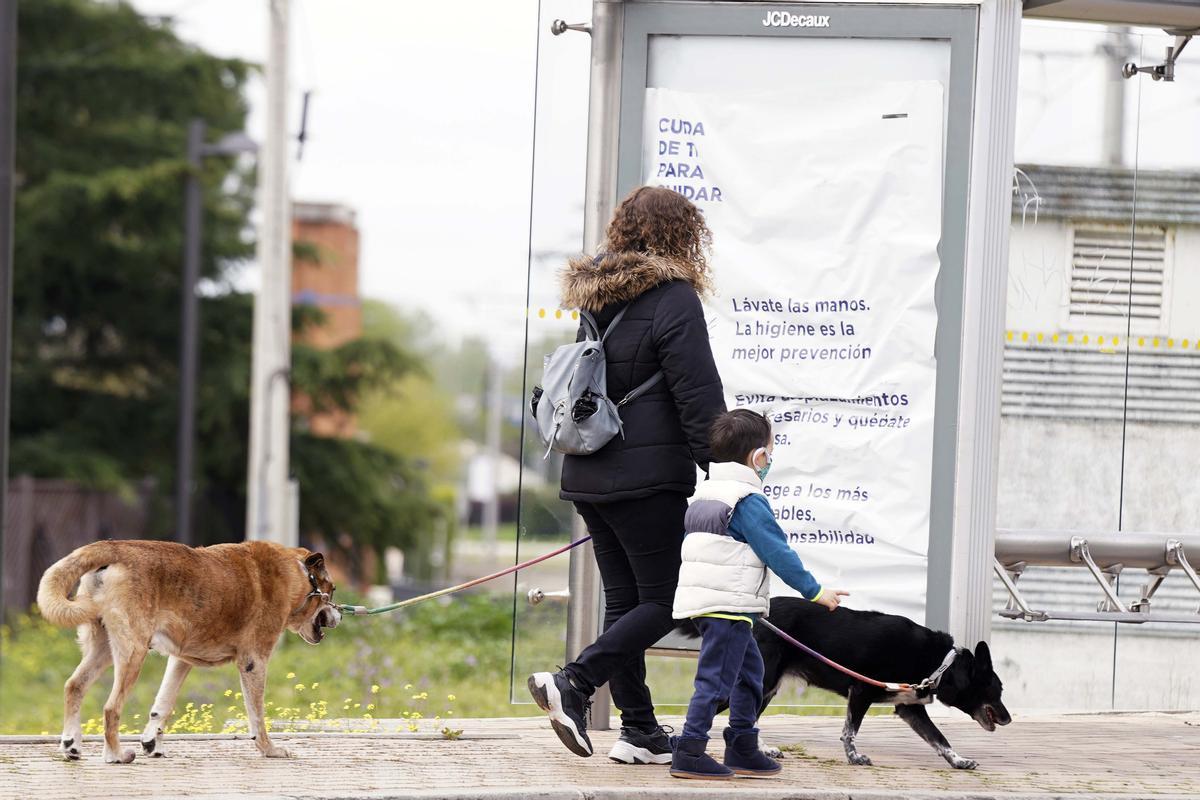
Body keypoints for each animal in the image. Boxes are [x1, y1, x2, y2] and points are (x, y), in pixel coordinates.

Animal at [38, 537, 338, 762]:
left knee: (74, 686)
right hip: (133, 653)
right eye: (332, 590)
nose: (339, 615)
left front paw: (152, 744)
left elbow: (163, 705)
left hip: (102, 648)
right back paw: (115, 755)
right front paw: (269, 749)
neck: (297, 573)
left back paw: (71, 746)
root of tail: (114, 547)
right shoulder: (254, 662)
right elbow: (257, 714)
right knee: (111, 707)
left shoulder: (180, 660)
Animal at [753, 597, 1008, 772]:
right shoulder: (861, 692)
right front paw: (854, 758)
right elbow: (849, 732)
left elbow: (939, 738)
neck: (940, 664)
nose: (1008, 719)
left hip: (768, 688)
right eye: (997, 690)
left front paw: (958, 760)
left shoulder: (909, 708)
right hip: (764, 681)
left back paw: (763, 750)